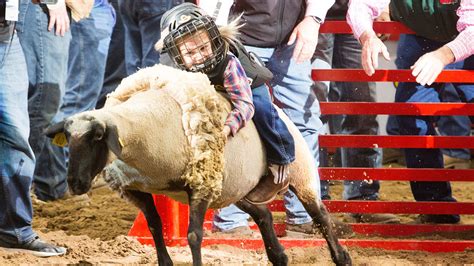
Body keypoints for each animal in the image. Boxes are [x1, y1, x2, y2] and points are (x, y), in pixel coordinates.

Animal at [46, 64, 350, 266]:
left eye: (97, 137)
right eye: (68, 140)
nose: (75, 184)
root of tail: (283, 115)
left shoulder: (201, 185)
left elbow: (193, 235)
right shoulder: (137, 189)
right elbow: (155, 226)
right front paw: (165, 262)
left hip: (299, 173)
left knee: (321, 215)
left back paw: (342, 257)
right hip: (236, 188)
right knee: (263, 214)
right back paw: (279, 256)